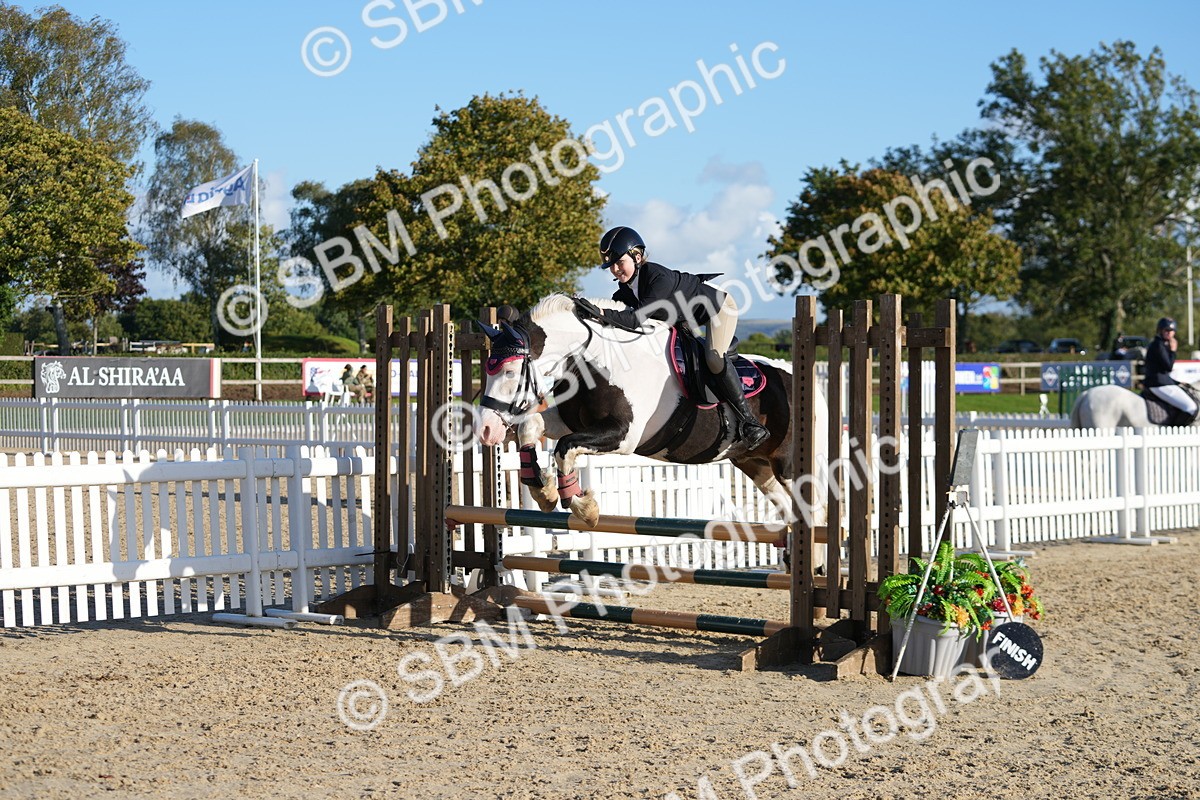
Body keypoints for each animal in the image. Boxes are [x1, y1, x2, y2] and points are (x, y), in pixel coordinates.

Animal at [473, 294, 828, 532]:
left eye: (509, 373)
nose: (487, 430)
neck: (597, 358)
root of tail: (806, 384)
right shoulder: (567, 420)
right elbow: (530, 426)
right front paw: (542, 492)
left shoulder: (623, 436)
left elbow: (564, 448)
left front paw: (584, 508)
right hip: (754, 464)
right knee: (787, 508)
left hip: (789, 465)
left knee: (815, 510)